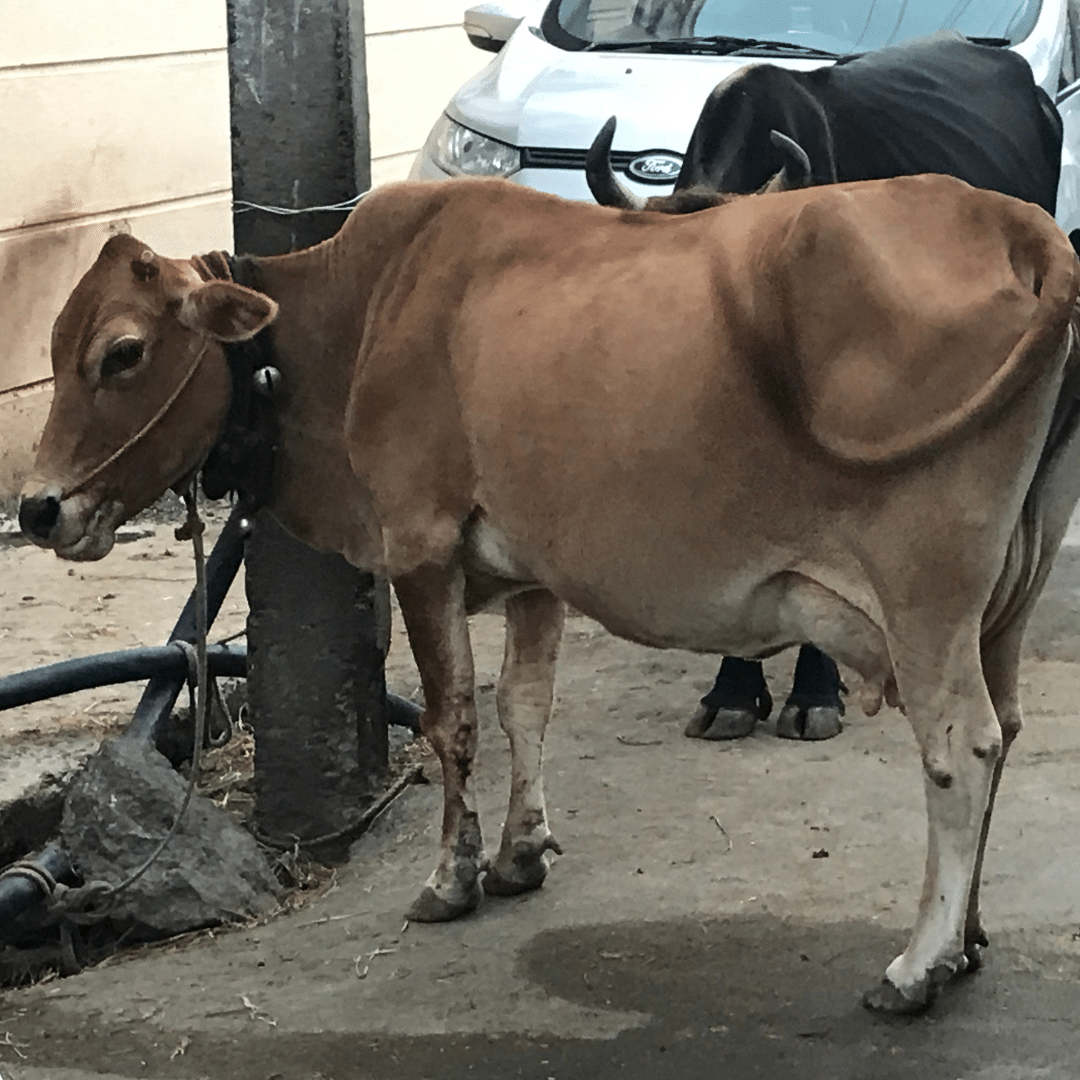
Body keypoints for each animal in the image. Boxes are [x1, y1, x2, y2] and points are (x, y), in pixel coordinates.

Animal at [18, 173, 1080, 1014]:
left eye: (122, 352)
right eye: (58, 343)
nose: (36, 509)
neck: (356, 317)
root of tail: (1010, 221)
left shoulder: (420, 547)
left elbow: (452, 720)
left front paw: (450, 878)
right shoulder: (534, 571)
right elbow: (526, 707)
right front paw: (518, 854)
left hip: (925, 596)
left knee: (964, 748)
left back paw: (919, 963)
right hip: (1004, 600)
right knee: (1010, 726)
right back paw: (968, 937)